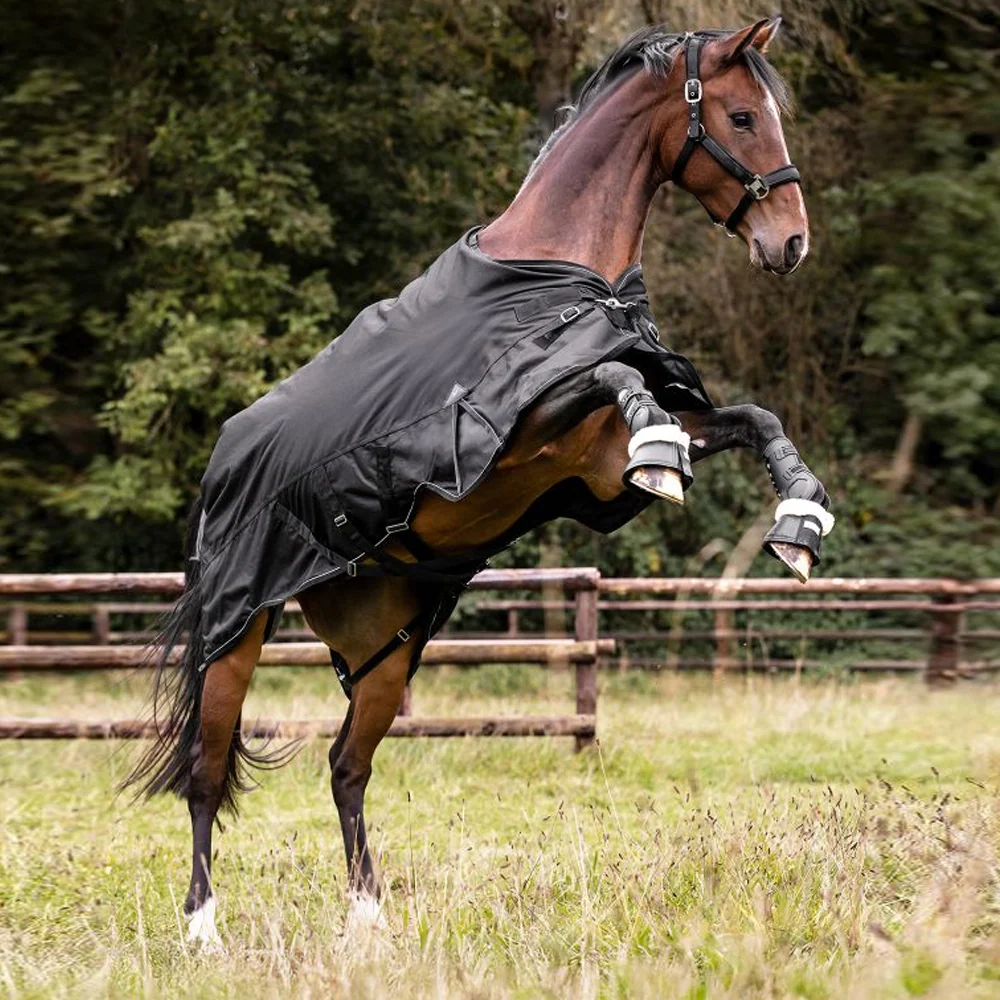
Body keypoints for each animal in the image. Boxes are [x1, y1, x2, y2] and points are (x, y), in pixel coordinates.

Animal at [125, 19, 834, 945]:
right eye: (744, 117)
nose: (790, 243)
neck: (558, 278)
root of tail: (221, 465)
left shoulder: (596, 467)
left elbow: (754, 418)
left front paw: (799, 521)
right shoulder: (516, 426)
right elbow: (616, 378)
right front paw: (666, 454)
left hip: (387, 651)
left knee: (346, 767)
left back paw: (369, 919)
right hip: (235, 633)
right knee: (208, 771)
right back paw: (203, 929)